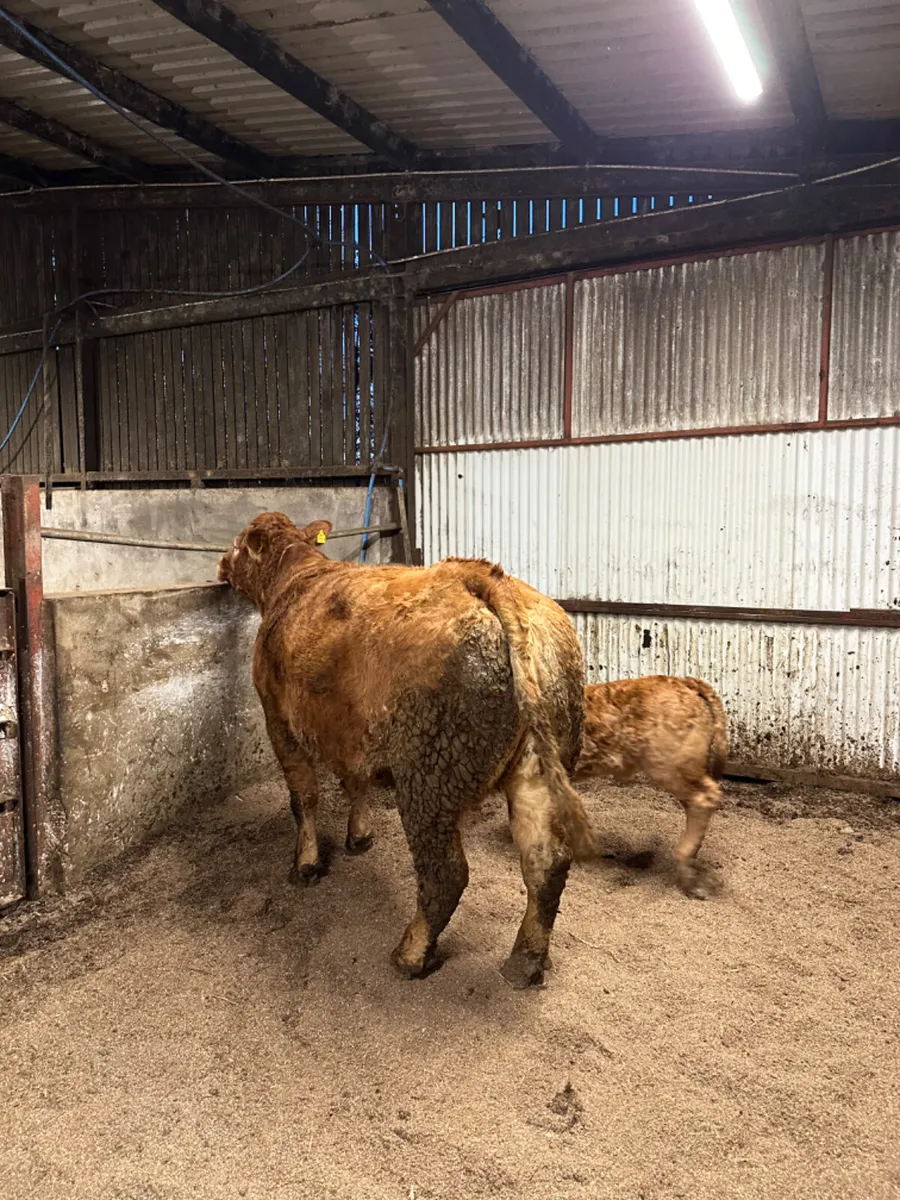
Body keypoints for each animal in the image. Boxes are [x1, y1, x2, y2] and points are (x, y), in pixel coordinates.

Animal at [217, 513, 598, 989]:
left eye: (237, 543)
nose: (220, 564)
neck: (295, 577)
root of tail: (484, 578)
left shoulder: (280, 721)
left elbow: (303, 798)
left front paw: (306, 863)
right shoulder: (350, 731)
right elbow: (355, 780)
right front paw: (358, 837)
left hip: (428, 779)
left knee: (446, 874)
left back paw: (411, 954)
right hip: (538, 769)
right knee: (545, 864)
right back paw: (524, 963)